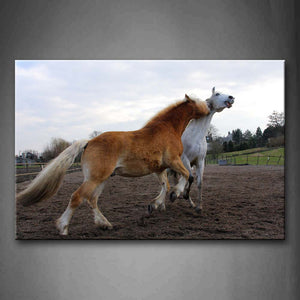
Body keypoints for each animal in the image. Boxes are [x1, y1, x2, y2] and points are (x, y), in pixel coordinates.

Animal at [15, 95, 209, 236]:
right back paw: (63, 228)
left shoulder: (159, 169)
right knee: (77, 197)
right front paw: (176, 194)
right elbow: (187, 175)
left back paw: (105, 224)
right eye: (199, 101)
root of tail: (89, 142)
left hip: (102, 179)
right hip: (95, 178)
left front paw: (154, 205)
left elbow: (165, 185)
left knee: (92, 200)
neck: (168, 129)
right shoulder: (174, 161)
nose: (208, 108)